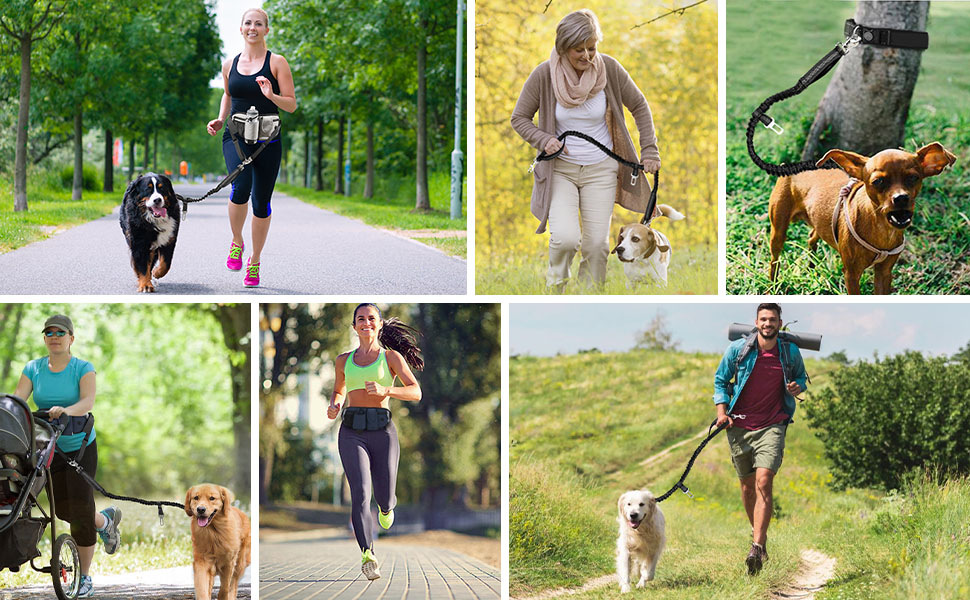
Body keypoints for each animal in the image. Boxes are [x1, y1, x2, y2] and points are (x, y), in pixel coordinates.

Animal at [772, 142, 952, 294]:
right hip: (778, 231)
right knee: (775, 258)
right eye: (878, 181)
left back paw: (811, 267)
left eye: (914, 177)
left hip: (820, 222)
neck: (882, 230)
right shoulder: (851, 274)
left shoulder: (884, 273)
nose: (901, 198)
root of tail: (793, 165)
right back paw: (773, 284)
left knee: (812, 237)